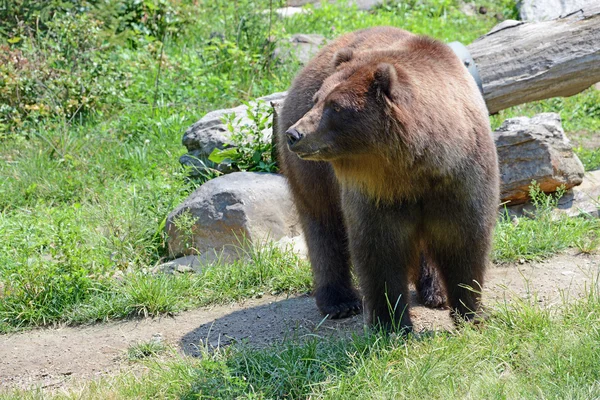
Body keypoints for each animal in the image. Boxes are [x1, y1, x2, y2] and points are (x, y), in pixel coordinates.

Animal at [278, 25, 502, 332]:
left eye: (336, 106)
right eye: (318, 100)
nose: (295, 134)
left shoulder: (461, 180)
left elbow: (465, 242)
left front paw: (470, 312)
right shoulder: (375, 194)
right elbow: (379, 251)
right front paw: (391, 322)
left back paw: (435, 292)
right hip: (315, 177)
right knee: (323, 226)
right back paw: (339, 302)